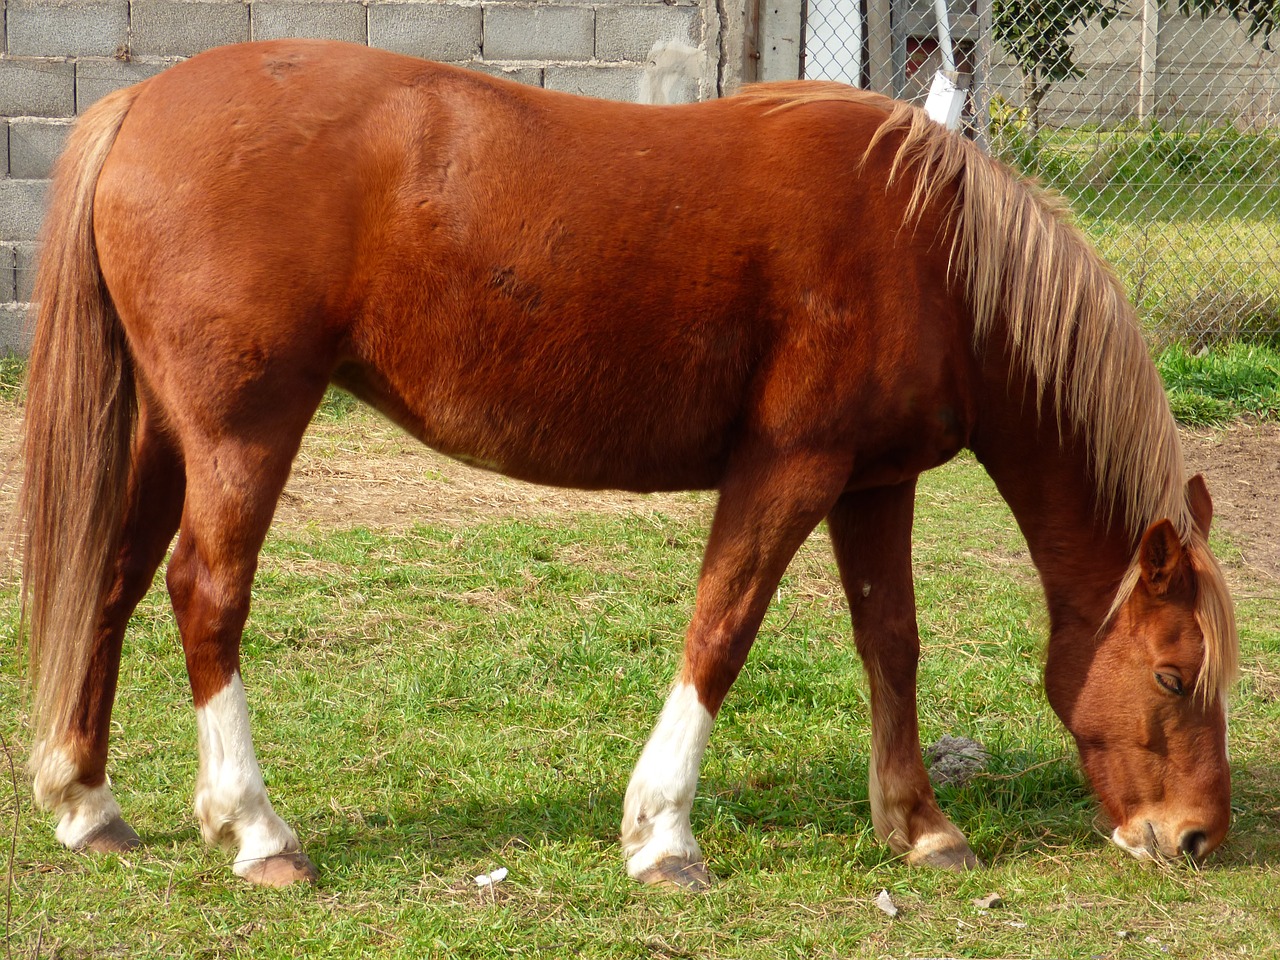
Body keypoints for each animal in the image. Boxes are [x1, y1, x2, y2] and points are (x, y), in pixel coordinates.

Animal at [17, 39, 1239, 896]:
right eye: (1173, 677)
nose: (1194, 839)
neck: (933, 252)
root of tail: (141, 105)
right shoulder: (788, 470)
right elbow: (721, 629)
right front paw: (662, 835)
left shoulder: (872, 483)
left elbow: (890, 642)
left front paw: (922, 828)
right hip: (243, 429)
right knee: (205, 593)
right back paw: (257, 831)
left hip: (165, 433)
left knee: (114, 582)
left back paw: (88, 804)